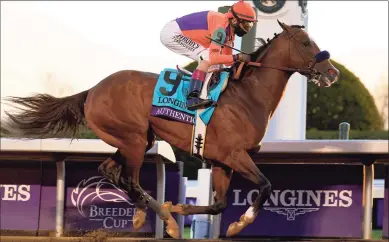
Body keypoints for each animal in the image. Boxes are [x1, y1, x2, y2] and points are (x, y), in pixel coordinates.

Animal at [0, 20, 336, 238]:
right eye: (306, 43)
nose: (332, 72)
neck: (248, 95)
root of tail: (92, 90)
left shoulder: (222, 161)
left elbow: (219, 204)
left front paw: (185, 210)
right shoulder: (235, 154)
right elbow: (265, 186)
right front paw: (239, 223)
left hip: (136, 139)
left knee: (111, 170)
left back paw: (146, 213)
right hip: (134, 138)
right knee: (130, 179)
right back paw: (165, 220)